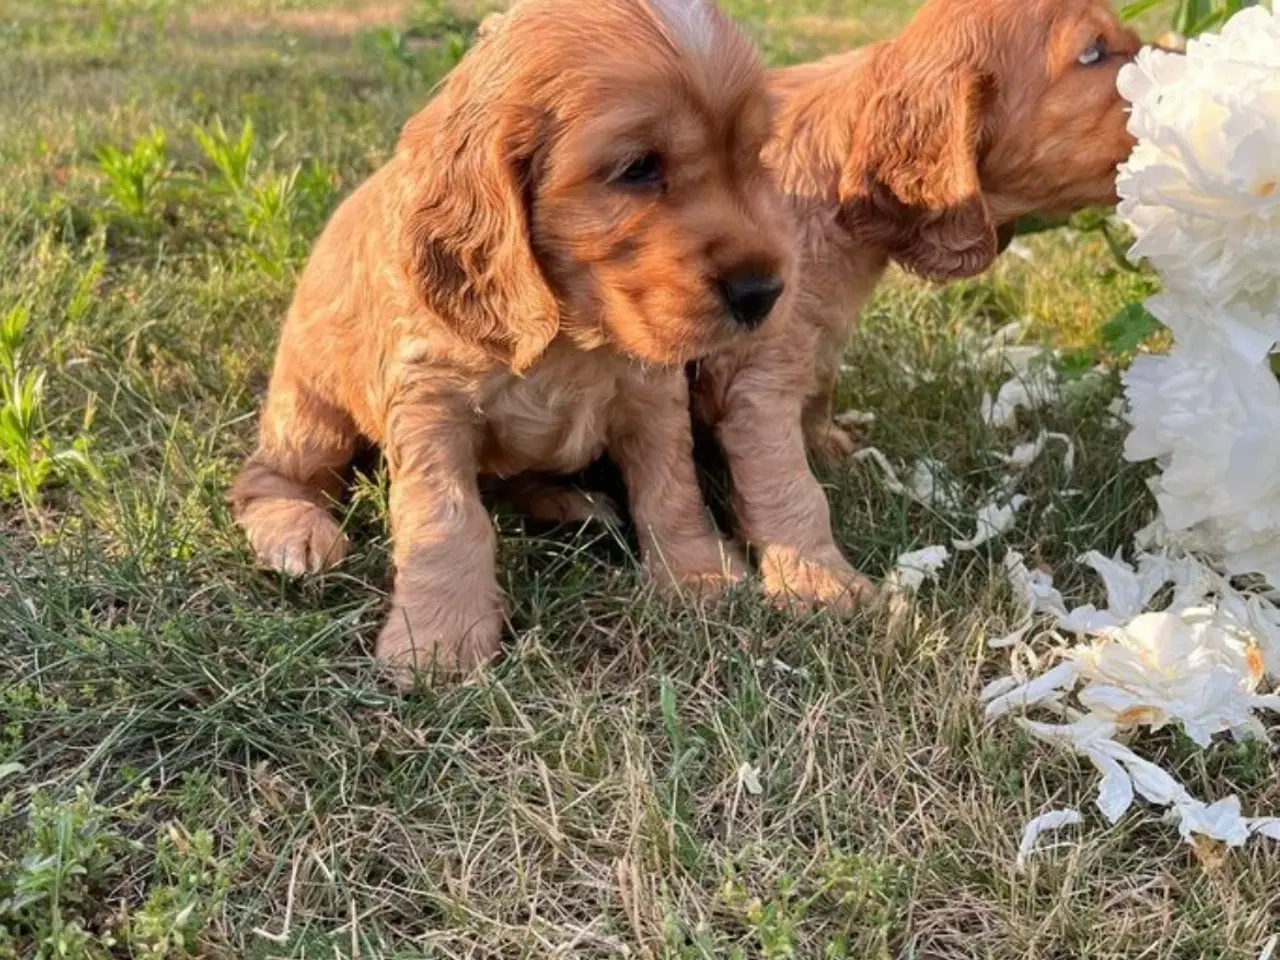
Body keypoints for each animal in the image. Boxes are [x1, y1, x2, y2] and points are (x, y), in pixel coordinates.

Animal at [230, 0, 788, 686]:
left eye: (752, 155)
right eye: (638, 168)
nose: (763, 292)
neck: (571, 335)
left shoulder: (652, 396)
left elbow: (671, 489)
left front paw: (697, 573)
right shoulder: (430, 406)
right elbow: (447, 519)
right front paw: (439, 639)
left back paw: (568, 502)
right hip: (313, 411)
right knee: (267, 476)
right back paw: (297, 534)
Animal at [696, 0, 1146, 609]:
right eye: (1093, 52)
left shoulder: (821, 330)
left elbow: (820, 387)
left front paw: (830, 446)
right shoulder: (756, 376)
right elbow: (787, 483)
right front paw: (819, 580)